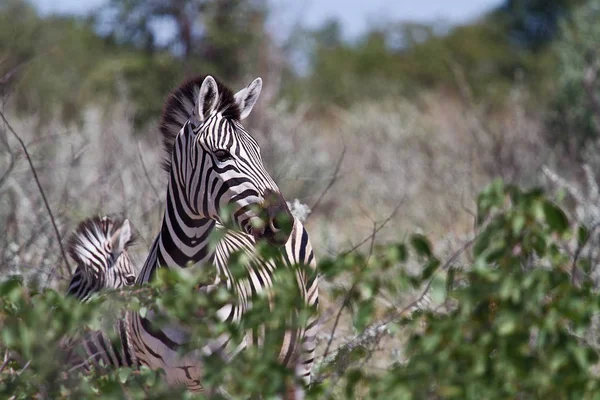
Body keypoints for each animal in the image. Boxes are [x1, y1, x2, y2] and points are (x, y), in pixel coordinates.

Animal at [122, 76, 322, 396]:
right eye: (221, 155)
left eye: (259, 153)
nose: (283, 223)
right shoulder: (156, 381)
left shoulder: (228, 380)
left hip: (303, 349)